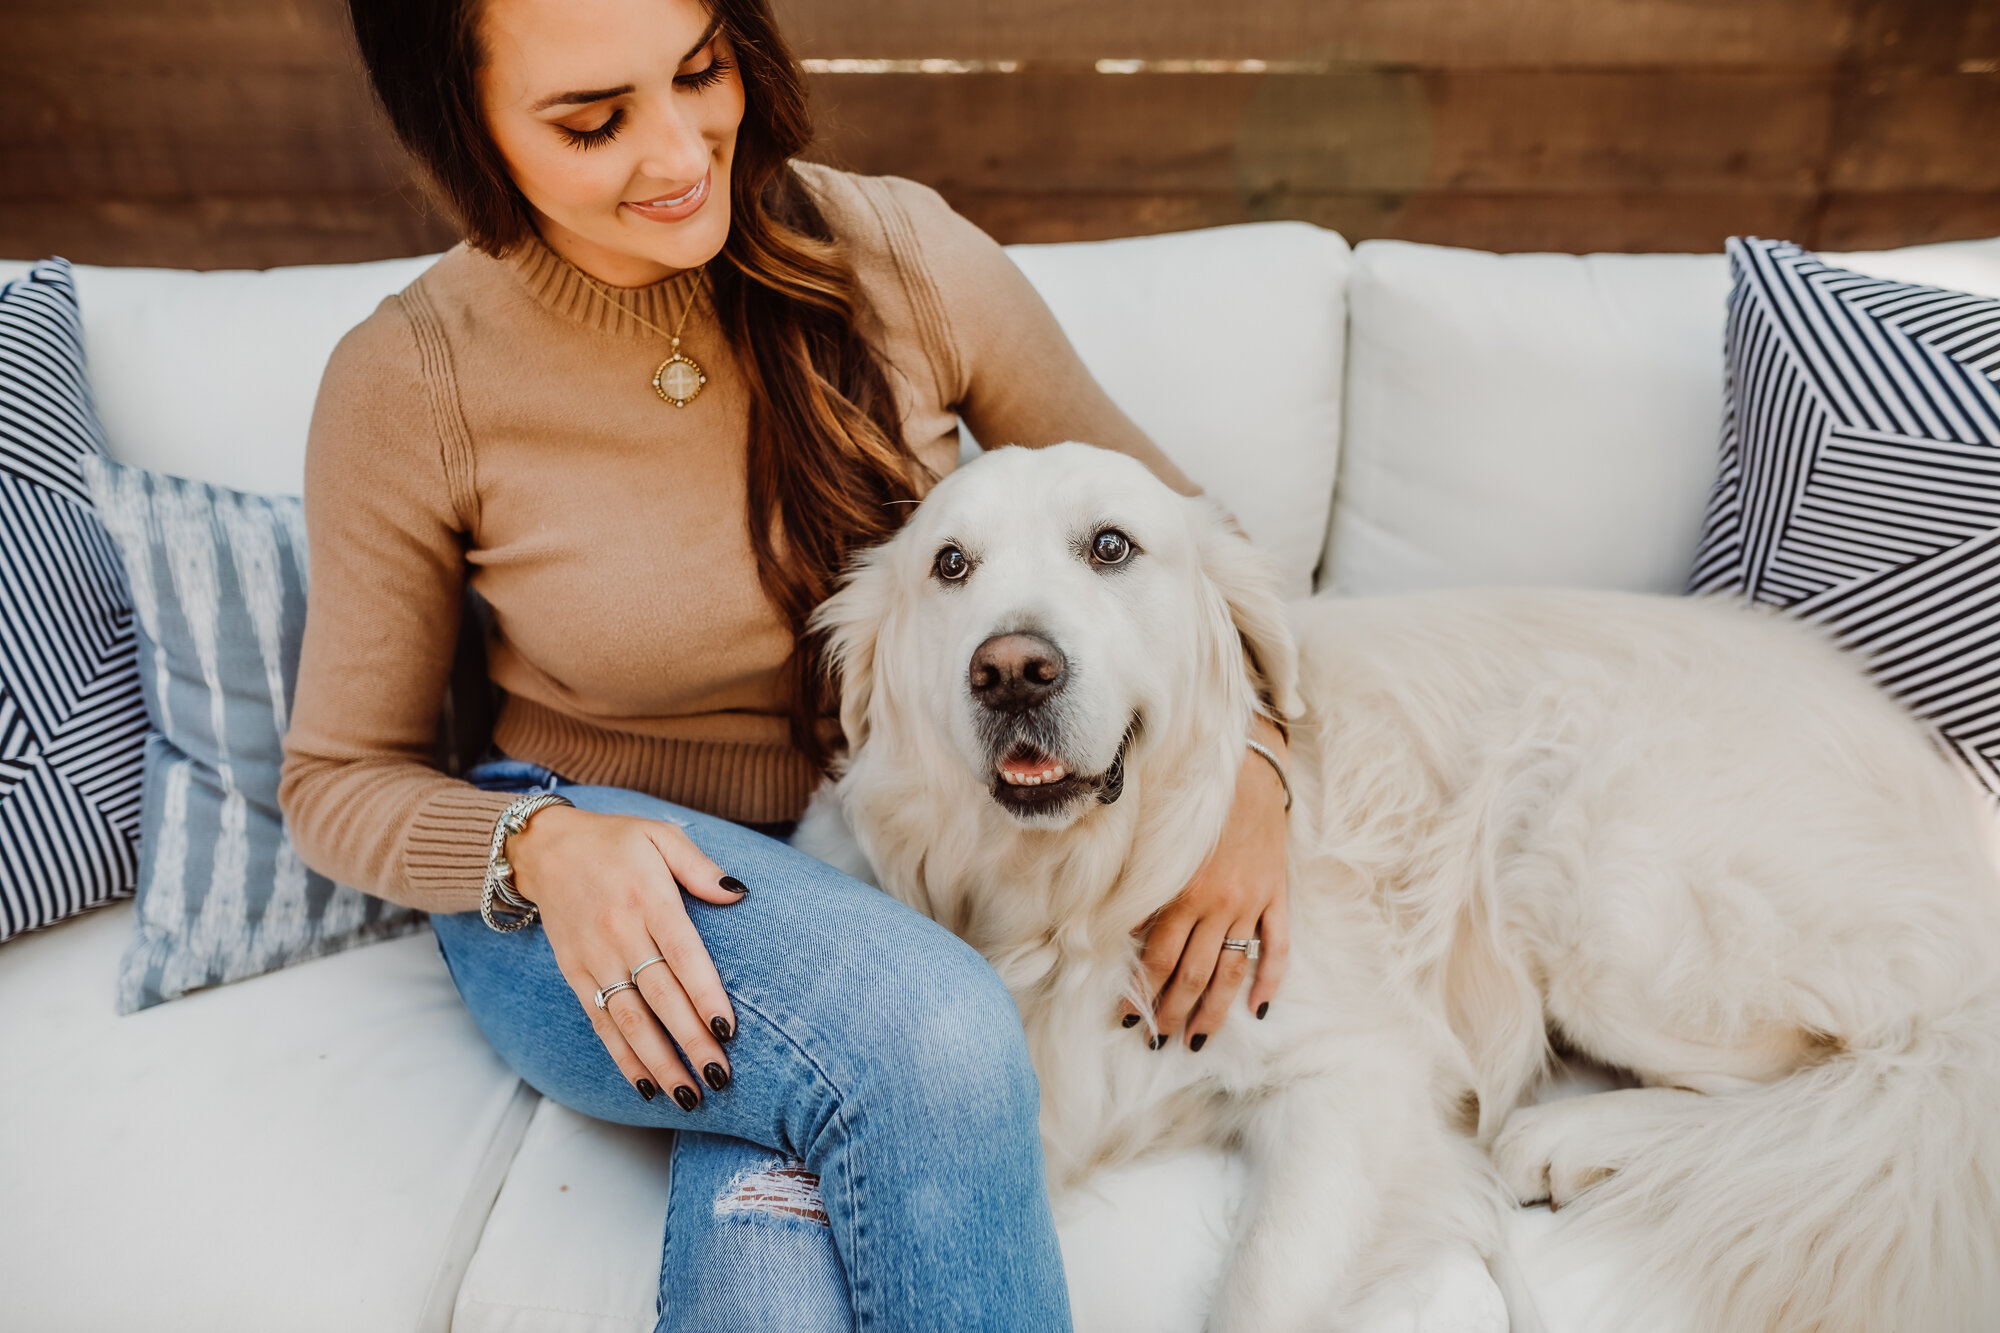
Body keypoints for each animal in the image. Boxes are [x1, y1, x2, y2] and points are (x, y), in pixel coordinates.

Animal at [804, 444, 2000, 1328]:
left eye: (1109, 546)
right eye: (949, 566)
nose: (1011, 671)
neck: (1075, 905)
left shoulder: (1356, 1073)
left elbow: (1263, 1288)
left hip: (1592, 869)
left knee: (1852, 1074)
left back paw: (1568, 1140)